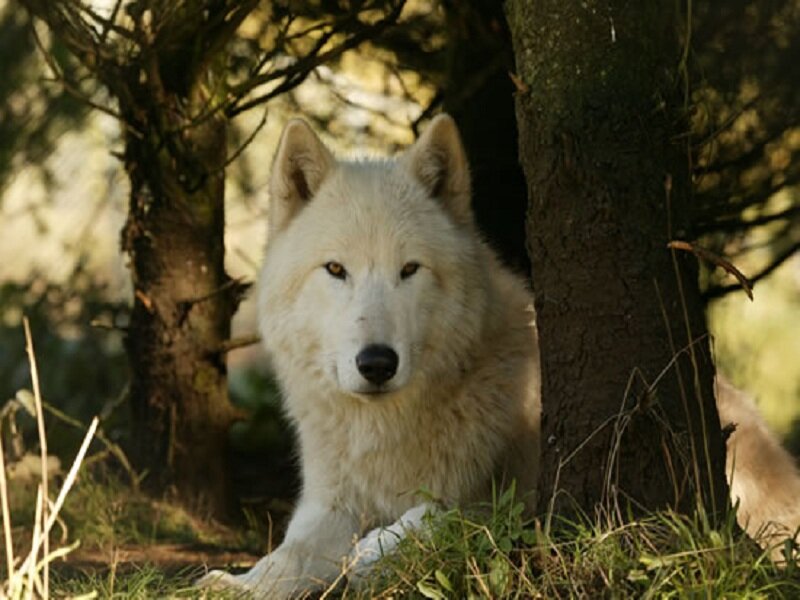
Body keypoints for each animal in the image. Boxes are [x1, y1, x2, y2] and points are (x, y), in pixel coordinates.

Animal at [201, 115, 800, 597]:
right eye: (335, 270)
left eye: (409, 270)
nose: (377, 364)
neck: (391, 431)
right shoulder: (330, 504)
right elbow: (288, 555)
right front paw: (234, 584)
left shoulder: (525, 499)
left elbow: (446, 511)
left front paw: (377, 548)